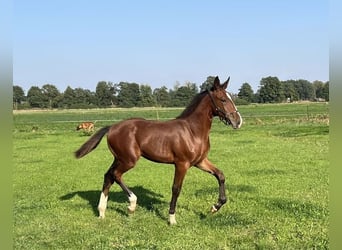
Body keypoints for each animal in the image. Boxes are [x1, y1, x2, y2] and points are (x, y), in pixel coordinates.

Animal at [75, 76, 242, 225]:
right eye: (223, 99)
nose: (238, 121)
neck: (192, 131)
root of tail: (112, 127)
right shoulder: (182, 164)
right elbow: (176, 188)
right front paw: (172, 219)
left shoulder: (200, 161)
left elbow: (220, 175)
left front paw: (215, 207)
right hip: (129, 160)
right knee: (115, 175)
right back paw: (131, 205)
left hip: (119, 158)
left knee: (108, 176)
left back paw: (102, 212)